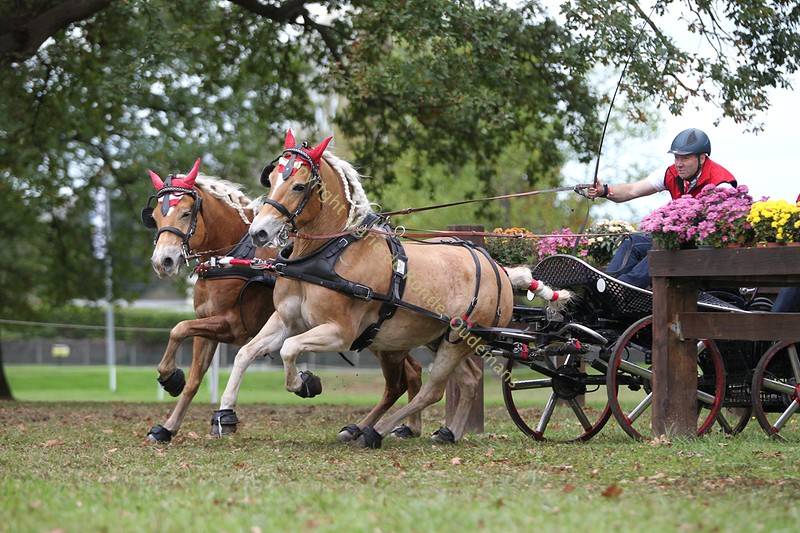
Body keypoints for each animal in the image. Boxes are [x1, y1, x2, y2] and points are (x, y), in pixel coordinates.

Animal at [143, 159, 423, 442]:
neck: (232, 256)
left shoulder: (231, 326)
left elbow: (179, 328)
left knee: (403, 379)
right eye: (155, 216)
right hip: (382, 338)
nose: (162, 261)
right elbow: (192, 373)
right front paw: (168, 421)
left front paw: (170, 378)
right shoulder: (207, 325)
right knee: (412, 375)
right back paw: (403, 426)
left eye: (186, 213)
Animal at [212, 130, 516, 448]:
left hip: (458, 339)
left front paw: (305, 383)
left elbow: (289, 349)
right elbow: (246, 353)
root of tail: (497, 268)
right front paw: (225, 415)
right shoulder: (286, 320)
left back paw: (375, 430)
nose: (258, 232)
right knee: (466, 379)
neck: (324, 255)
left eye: (298, 186)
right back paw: (446, 431)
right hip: (438, 337)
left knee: (432, 390)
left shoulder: (340, 333)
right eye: (271, 180)